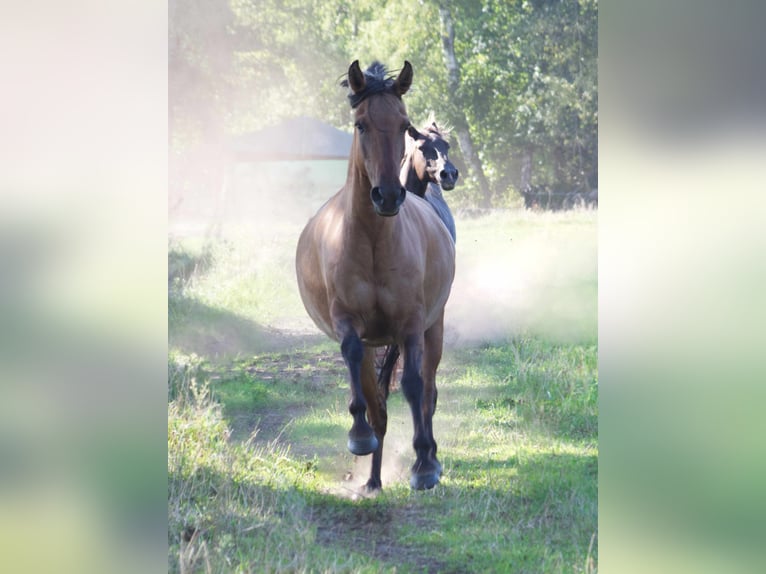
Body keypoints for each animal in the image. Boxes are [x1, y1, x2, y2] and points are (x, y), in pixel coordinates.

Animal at [296, 63, 456, 496]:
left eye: (403, 124)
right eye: (361, 124)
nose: (386, 196)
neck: (372, 241)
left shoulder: (412, 324)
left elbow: (415, 387)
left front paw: (424, 464)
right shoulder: (348, 322)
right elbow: (362, 380)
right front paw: (359, 436)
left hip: (434, 326)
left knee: (429, 390)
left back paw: (426, 459)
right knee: (378, 399)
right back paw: (372, 478)